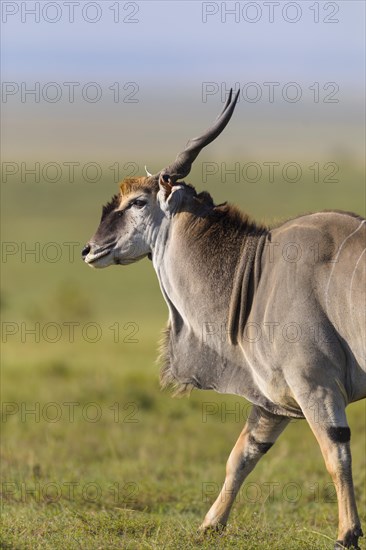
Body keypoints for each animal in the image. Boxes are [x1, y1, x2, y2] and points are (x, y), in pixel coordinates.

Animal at [83, 89, 366, 548]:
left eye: (138, 202)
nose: (90, 249)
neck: (255, 270)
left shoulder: (316, 386)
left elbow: (335, 453)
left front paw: (347, 533)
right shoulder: (276, 401)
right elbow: (242, 456)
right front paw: (210, 524)